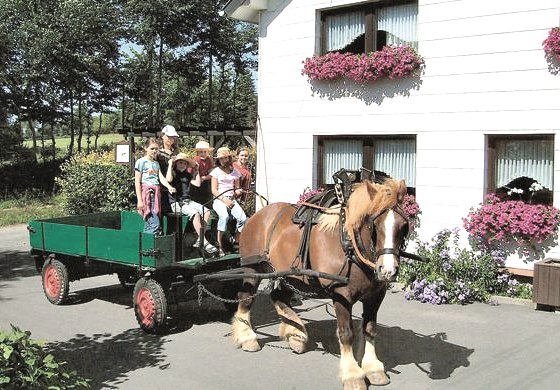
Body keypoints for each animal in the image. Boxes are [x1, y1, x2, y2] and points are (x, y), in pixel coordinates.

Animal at [230, 177, 410, 390]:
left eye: (403, 226)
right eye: (374, 225)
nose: (388, 270)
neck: (349, 246)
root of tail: (258, 214)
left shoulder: (376, 295)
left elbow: (370, 329)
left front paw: (374, 368)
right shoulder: (341, 295)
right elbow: (346, 333)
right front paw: (353, 375)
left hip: (290, 274)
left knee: (278, 297)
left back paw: (296, 334)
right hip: (253, 269)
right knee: (246, 299)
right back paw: (248, 338)